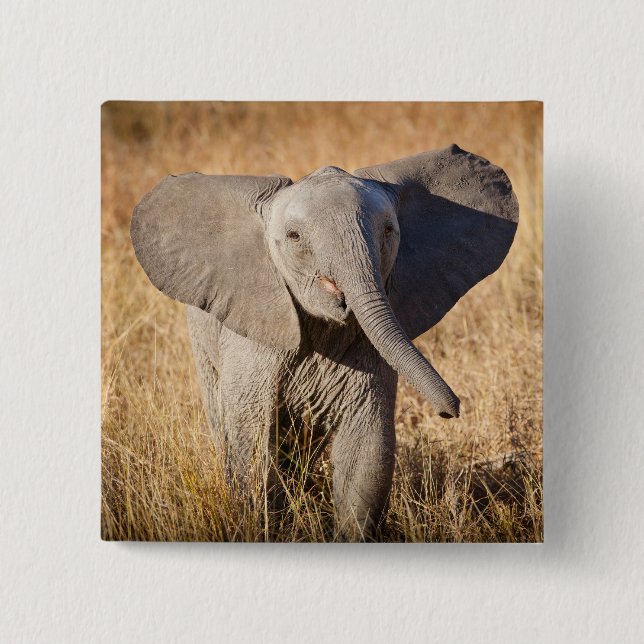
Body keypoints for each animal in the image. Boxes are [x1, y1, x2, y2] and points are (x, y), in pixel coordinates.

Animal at [131, 144, 519, 540]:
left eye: (389, 230)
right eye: (294, 237)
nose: (450, 411)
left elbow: (365, 449)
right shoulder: (253, 338)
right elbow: (252, 442)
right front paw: (263, 529)